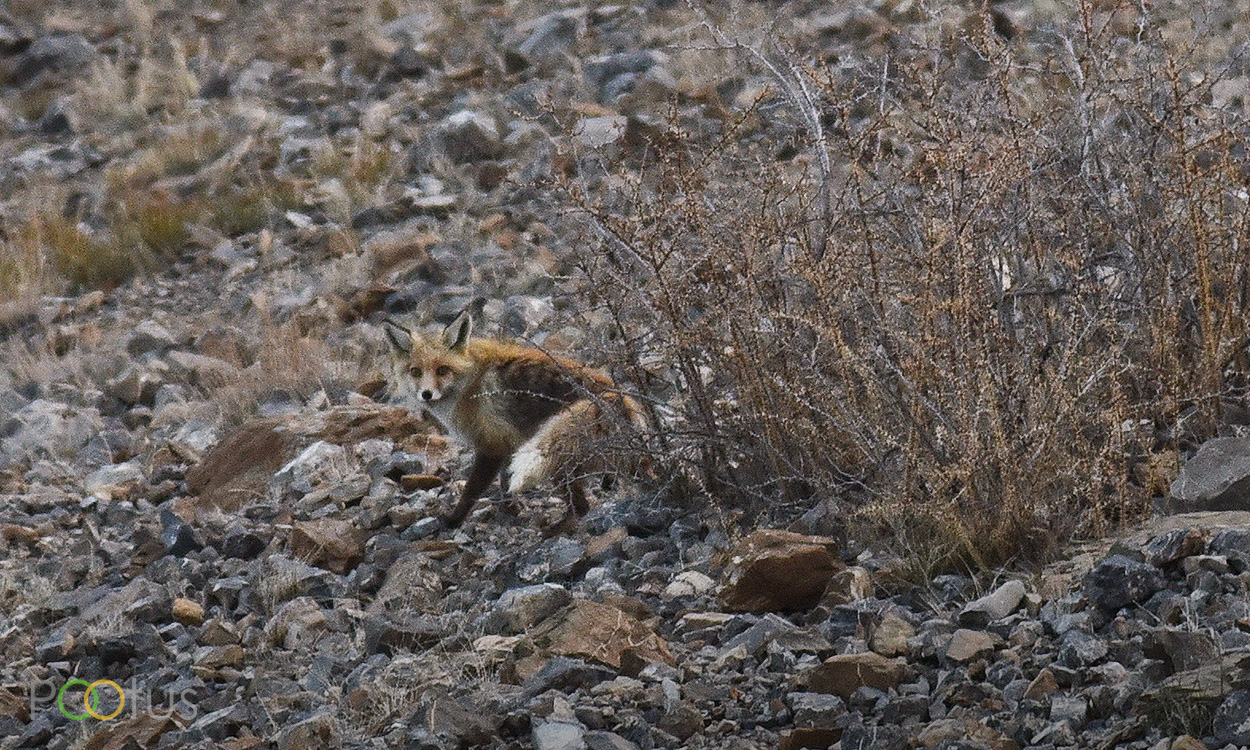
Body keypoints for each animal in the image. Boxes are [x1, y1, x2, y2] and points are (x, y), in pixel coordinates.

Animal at [383, 310, 645, 531]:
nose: (426, 394)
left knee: (582, 507)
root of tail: (615, 396)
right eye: (415, 371)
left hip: (558, 464)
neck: (469, 383)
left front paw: (453, 521)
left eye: (442, 370)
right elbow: (505, 482)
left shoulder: (491, 446)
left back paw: (555, 530)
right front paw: (510, 511)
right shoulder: (509, 442)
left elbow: (472, 490)